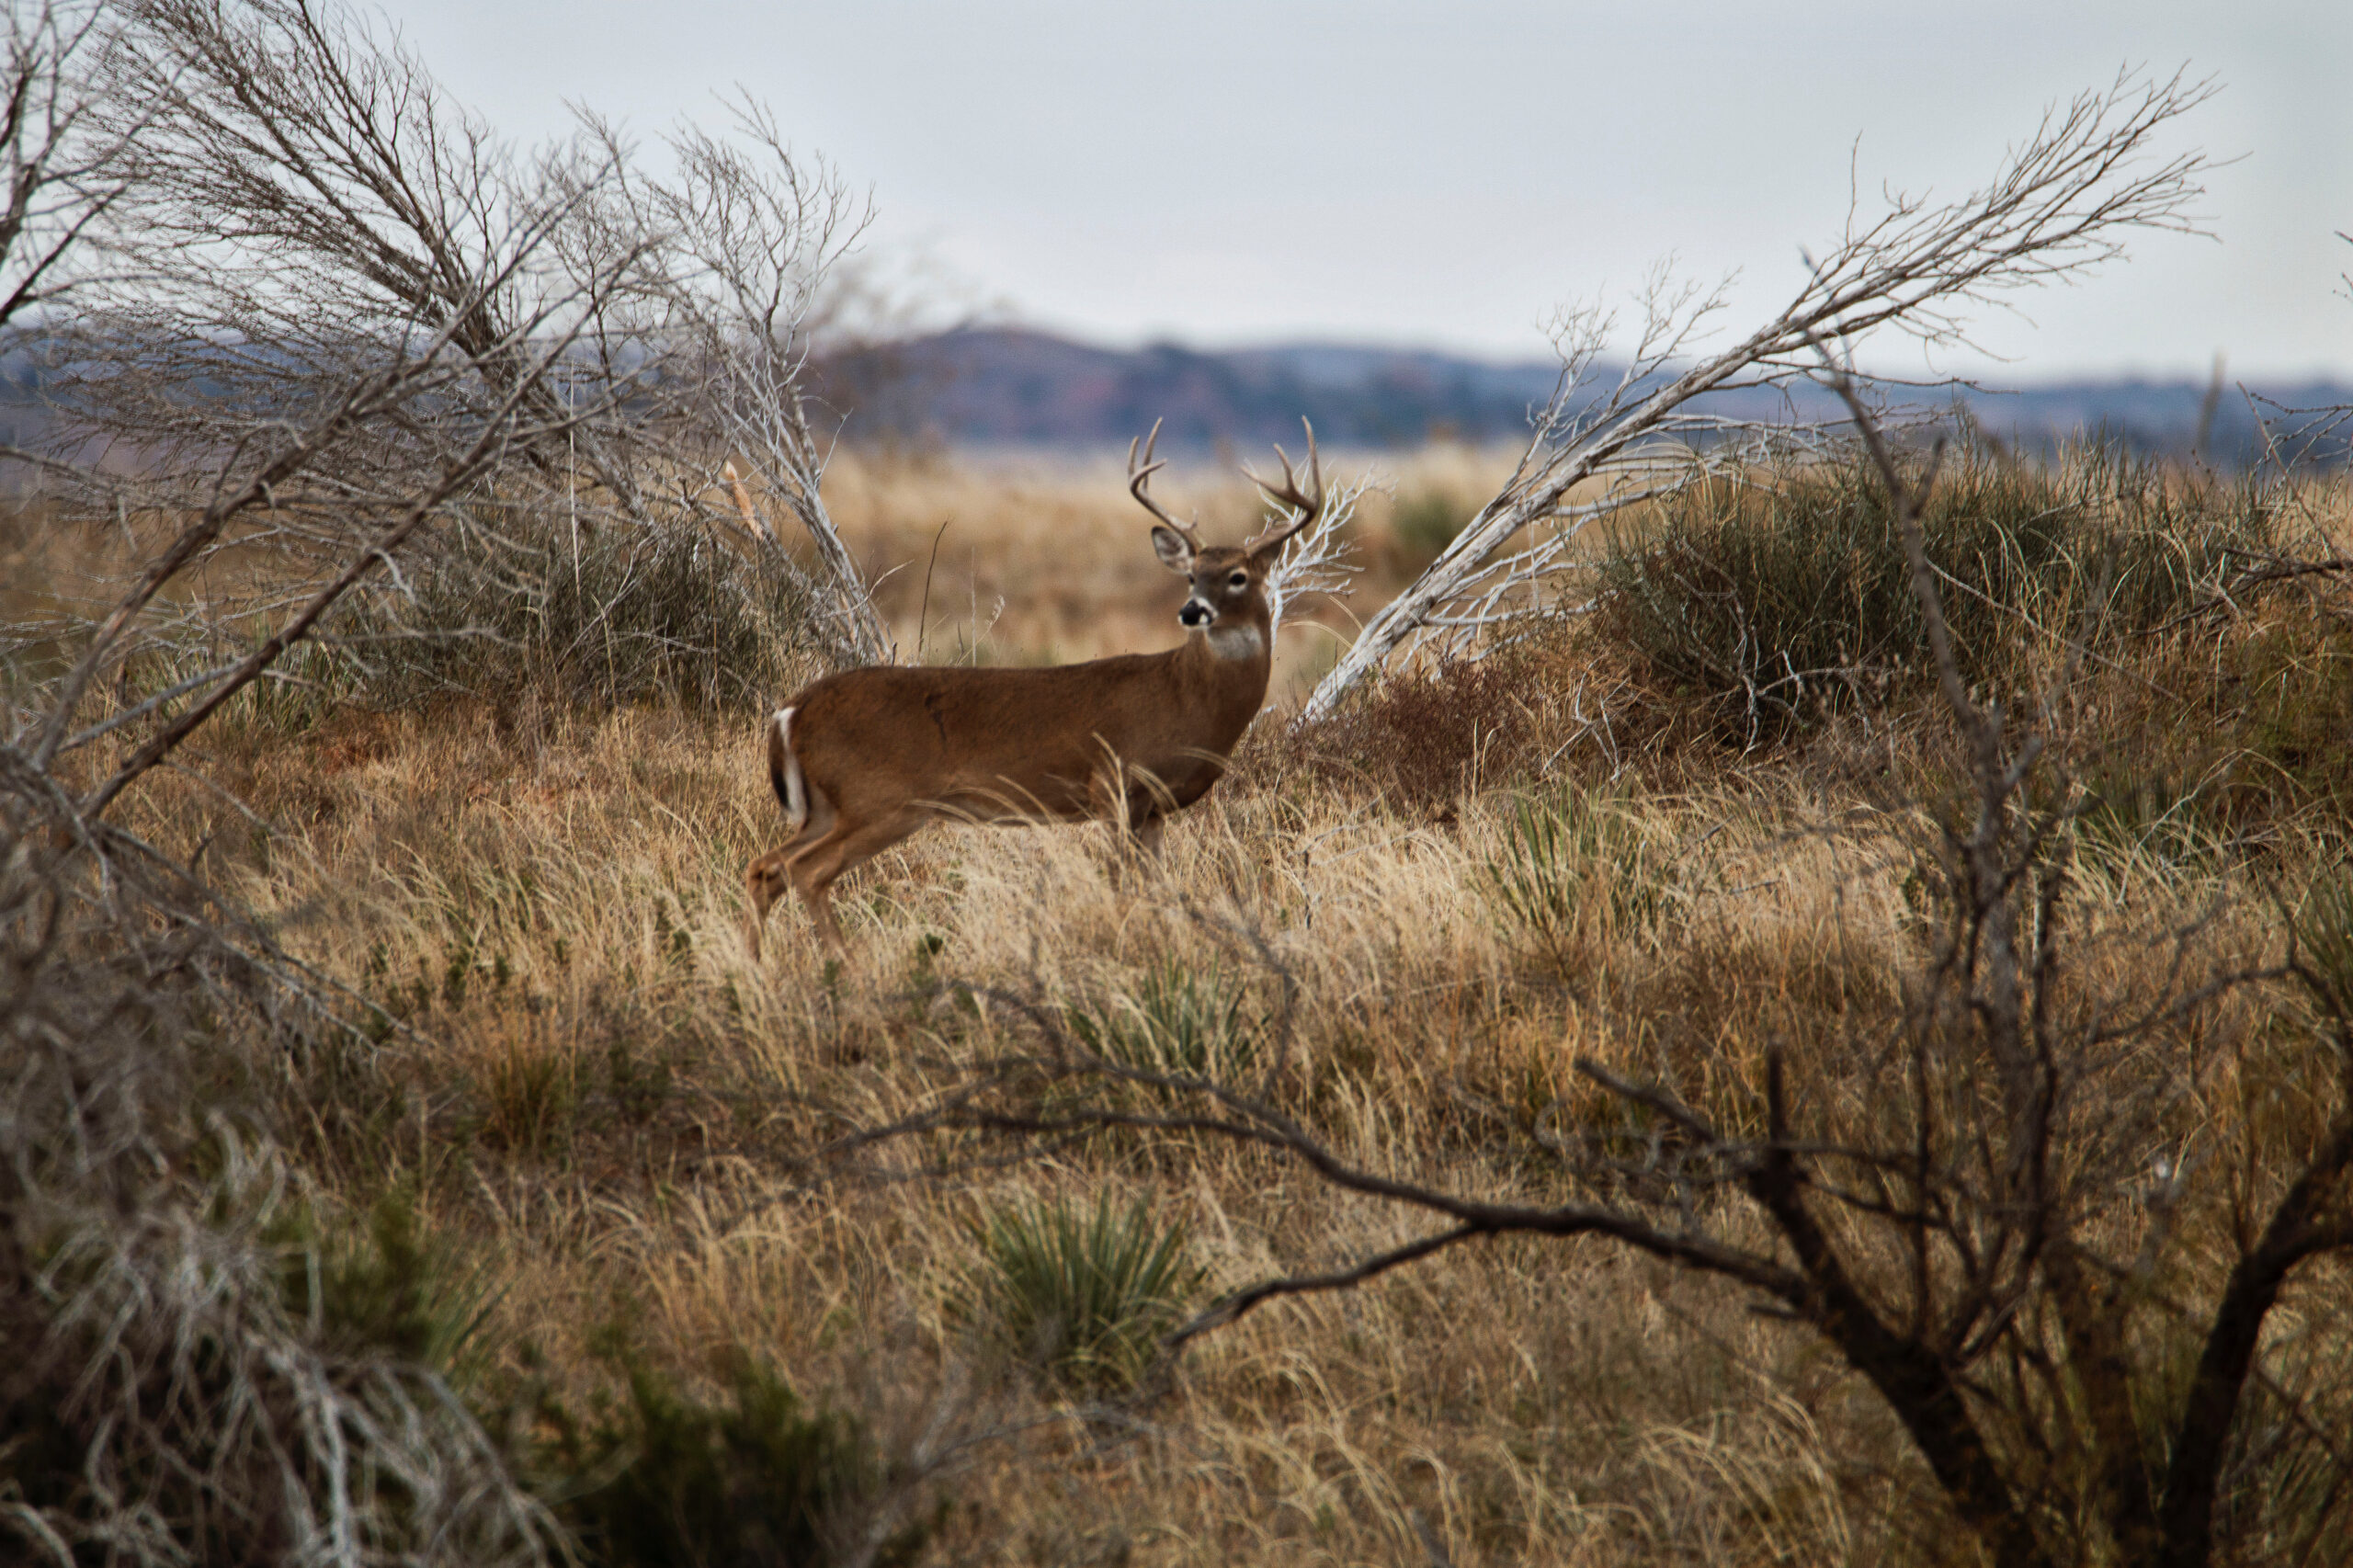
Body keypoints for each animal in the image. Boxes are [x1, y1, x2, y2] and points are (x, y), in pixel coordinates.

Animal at [744, 421, 1325, 958]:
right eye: (1191, 576)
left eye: (1237, 577)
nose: (1191, 611)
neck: (1187, 699)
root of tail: (791, 712)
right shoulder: (1112, 783)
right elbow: (1121, 886)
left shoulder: (1155, 808)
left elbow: (1159, 890)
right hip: (879, 798)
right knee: (805, 872)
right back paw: (841, 963)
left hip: (828, 806)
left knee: (765, 866)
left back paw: (756, 966)